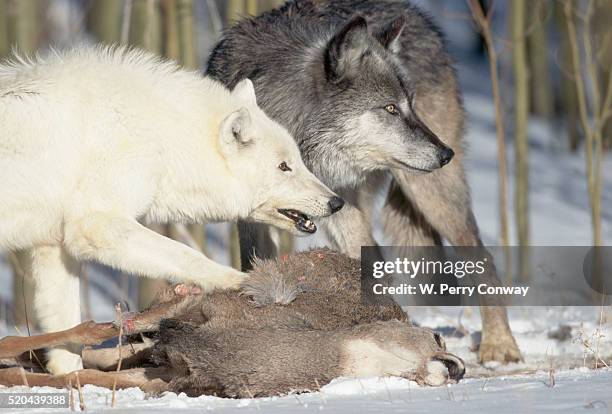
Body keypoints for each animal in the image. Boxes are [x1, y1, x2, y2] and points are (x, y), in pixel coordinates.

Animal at [0, 46, 344, 376]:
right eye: (284, 166)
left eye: (297, 160)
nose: (336, 202)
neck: (160, 138)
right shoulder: (98, 225)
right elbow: (188, 255)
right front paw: (239, 281)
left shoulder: (54, 246)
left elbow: (65, 335)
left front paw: (72, 379)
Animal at [207, 0, 520, 362]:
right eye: (391, 108)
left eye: (409, 106)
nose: (446, 154)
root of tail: (414, 13)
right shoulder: (254, 217)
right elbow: (255, 264)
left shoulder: (337, 201)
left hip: (429, 194)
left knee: (480, 257)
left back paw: (500, 346)